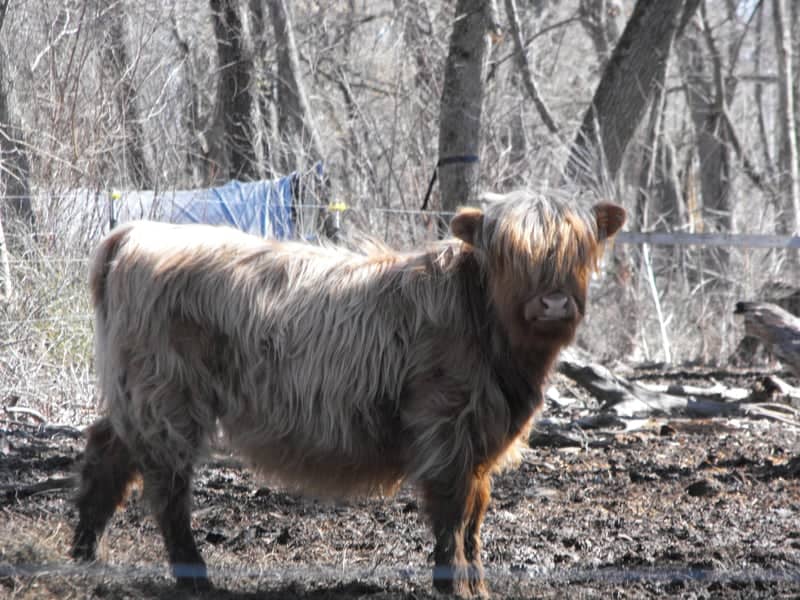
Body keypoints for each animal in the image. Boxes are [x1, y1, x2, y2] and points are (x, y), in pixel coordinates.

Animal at [71, 190, 625, 597]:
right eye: (512, 253)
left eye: (580, 249)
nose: (553, 303)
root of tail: (141, 232)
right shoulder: (447, 427)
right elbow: (452, 512)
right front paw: (454, 587)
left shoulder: (481, 442)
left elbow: (475, 515)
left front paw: (478, 587)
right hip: (167, 396)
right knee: (167, 486)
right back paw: (195, 578)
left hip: (135, 396)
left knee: (106, 453)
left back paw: (86, 555)